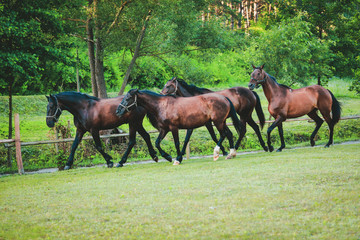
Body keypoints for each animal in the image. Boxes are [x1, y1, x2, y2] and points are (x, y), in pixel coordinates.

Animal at [115, 89, 245, 165]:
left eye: (128, 98)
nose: (118, 111)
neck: (162, 105)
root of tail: (224, 98)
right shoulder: (164, 129)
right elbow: (157, 143)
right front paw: (167, 157)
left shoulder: (173, 128)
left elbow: (177, 143)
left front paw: (177, 159)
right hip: (222, 122)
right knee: (229, 134)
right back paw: (231, 154)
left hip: (218, 122)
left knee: (223, 135)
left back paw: (216, 153)